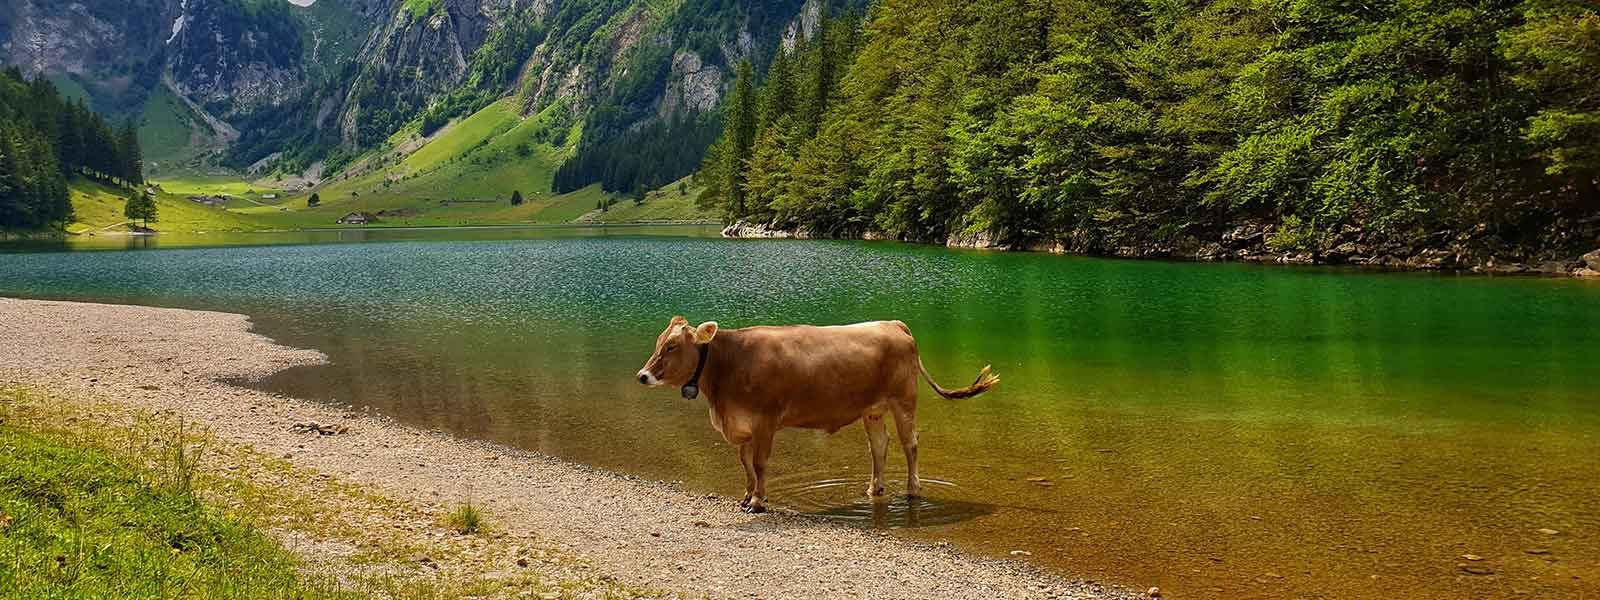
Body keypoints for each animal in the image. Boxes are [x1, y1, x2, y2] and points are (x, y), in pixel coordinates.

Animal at [630, 316, 992, 515]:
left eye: (672, 346)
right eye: (659, 342)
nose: (642, 375)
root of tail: (894, 324)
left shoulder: (765, 420)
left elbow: (759, 464)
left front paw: (758, 501)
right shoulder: (741, 424)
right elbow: (745, 464)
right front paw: (746, 496)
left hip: (904, 400)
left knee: (910, 444)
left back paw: (913, 490)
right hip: (873, 410)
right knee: (879, 446)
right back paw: (874, 489)